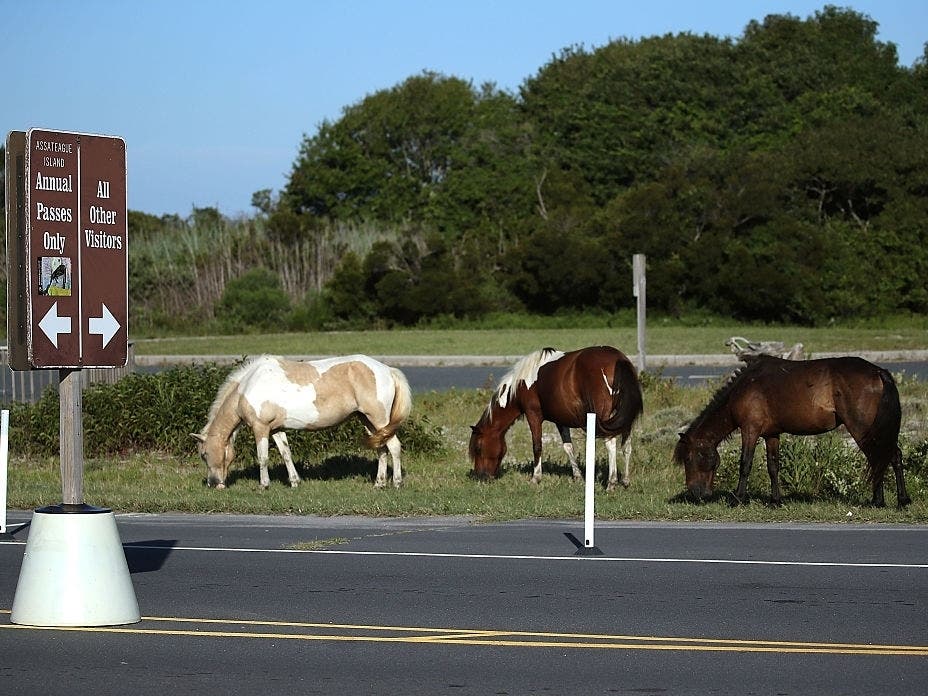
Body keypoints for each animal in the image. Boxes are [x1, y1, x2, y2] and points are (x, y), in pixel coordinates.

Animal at [191, 354, 412, 489]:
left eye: (204, 454)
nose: (214, 483)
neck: (247, 387)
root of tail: (387, 370)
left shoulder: (260, 428)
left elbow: (263, 457)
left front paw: (264, 484)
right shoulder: (276, 429)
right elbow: (286, 454)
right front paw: (295, 482)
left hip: (379, 419)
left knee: (394, 446)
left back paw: (397, 483)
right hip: (369, 422)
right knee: (381, 449)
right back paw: (379, 483)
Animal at [469, 346, 644, 489]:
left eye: (478, 448)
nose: (480, 477)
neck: (521, 384)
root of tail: (618, 359)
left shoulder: (533, 415)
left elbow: (537, 446)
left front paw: (536, 478)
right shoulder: (561, 420)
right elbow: (568, 447)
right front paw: (577, 477)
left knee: (611, 443)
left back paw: (611, 483)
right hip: (623, 419)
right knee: (626, 446)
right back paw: (625, 480)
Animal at [673, 355, 911, 508]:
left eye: (688, 459)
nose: (696, 494)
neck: (743, 388)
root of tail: (879, 372)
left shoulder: (750, 430)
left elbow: (745, 464)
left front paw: (737, 499)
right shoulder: (771, 435)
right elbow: (773, 467)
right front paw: (775, 501)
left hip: (862, 429)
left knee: (880, 458)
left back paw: (880, 501)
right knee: (891, 456)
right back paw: (900, 500)